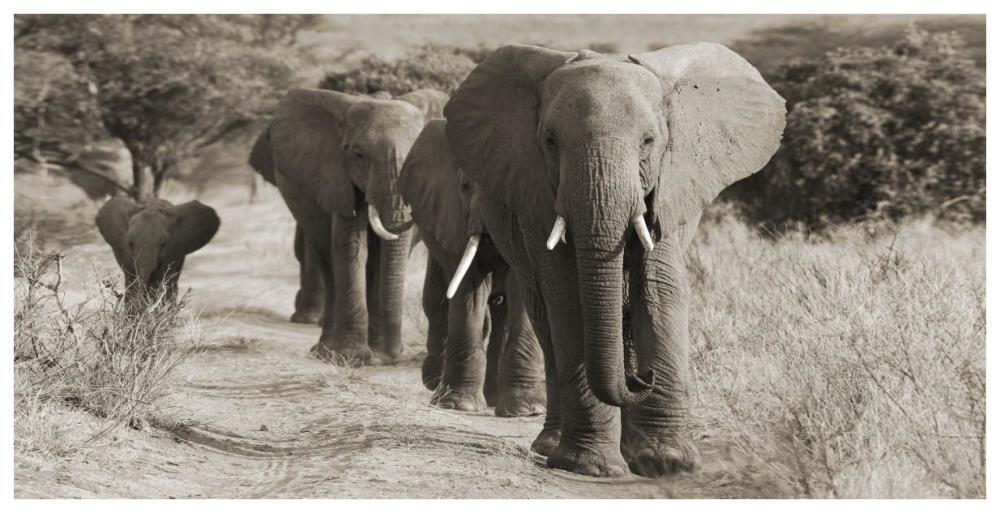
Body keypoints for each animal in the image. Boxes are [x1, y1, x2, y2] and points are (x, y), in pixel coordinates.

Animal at [249, 87, 448, 365]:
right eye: (358, 155)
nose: (393, 356)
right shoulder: (338, 179)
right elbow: (352, 248)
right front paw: (351, 357)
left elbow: (385, 256)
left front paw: (377, 356)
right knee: (329, 263)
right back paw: (324, 351)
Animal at [399, 119, 546, 415]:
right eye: (465, 186)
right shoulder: (452, 216)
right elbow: (468, 289)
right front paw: (459, 405)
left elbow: (521, 289)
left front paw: (527, 410)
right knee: (436, 301)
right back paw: (436, 384)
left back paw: (494, 398)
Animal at [443, 43, 785, 477]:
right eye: (550, 141)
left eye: (649, 141)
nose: (643, 378)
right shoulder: (537, 194)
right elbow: (568, 295)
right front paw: (591, 467)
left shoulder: (668, 189)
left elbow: (659, 288)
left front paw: (667, 463)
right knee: (546, 320)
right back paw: (553, 446)